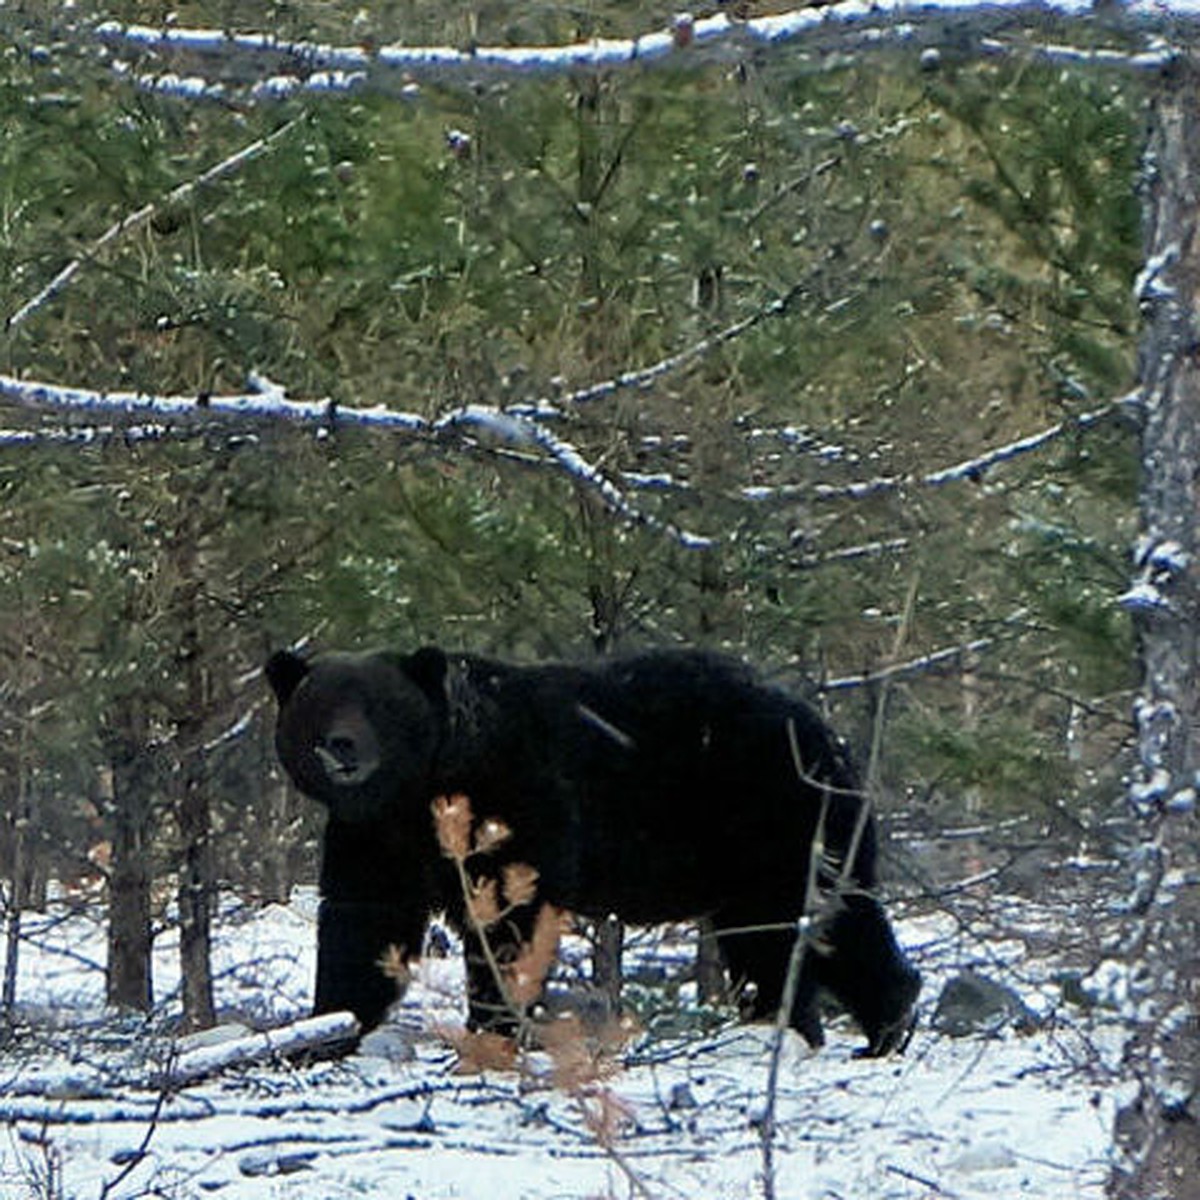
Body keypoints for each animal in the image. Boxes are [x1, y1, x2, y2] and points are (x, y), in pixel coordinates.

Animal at [265, 643, 916, 1056]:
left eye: (381, 705)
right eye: (319, 703)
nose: (342, 747)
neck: (424, 789)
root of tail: (829, 732)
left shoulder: (517, 798)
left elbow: (510, 920)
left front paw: (499, 1023)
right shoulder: (374, 836)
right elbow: (363, 925)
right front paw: (330, 1026)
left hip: (774, 815)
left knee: (821, 917)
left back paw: (886, 1024)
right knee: (769, 940)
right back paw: (784, 1025)